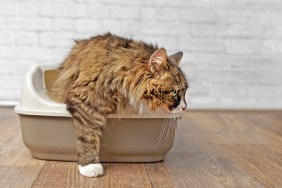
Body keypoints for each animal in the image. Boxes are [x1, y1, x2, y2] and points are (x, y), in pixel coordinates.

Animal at [49, 32, 188, 178]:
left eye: (185, 91)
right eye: (175, 92)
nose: (185, 107)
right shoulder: (85, 101)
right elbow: (88, 136)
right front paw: (90, 166)